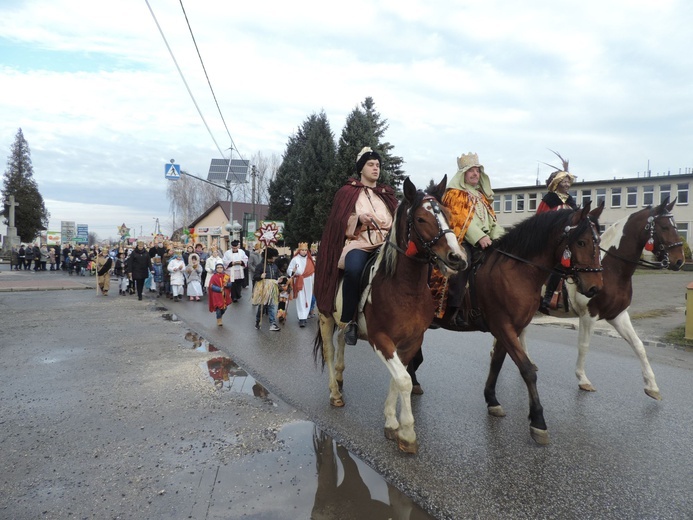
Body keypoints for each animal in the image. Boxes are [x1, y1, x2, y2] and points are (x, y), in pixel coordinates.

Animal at [312, 177, 464, 452]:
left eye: (447, 215)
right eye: (421, 219)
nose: (457, 258)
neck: (404, 288)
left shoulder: (411, 342)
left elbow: (398, 378)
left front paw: (392, 422)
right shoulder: (381, 339)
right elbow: (403, 380)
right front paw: (407, 433)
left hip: (341, 320)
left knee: (342, 340)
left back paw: (339, 377)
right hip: (325, 316)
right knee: (329, 350)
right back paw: (335, 393)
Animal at [520, 198, 684, 398]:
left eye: (676, 226)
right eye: (665, 227)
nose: (680, 260)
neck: (611, 270)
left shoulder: (618, 315)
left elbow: (638, 346)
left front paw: (652, 386)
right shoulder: (588, 315)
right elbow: (584, 346)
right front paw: (583, 379)